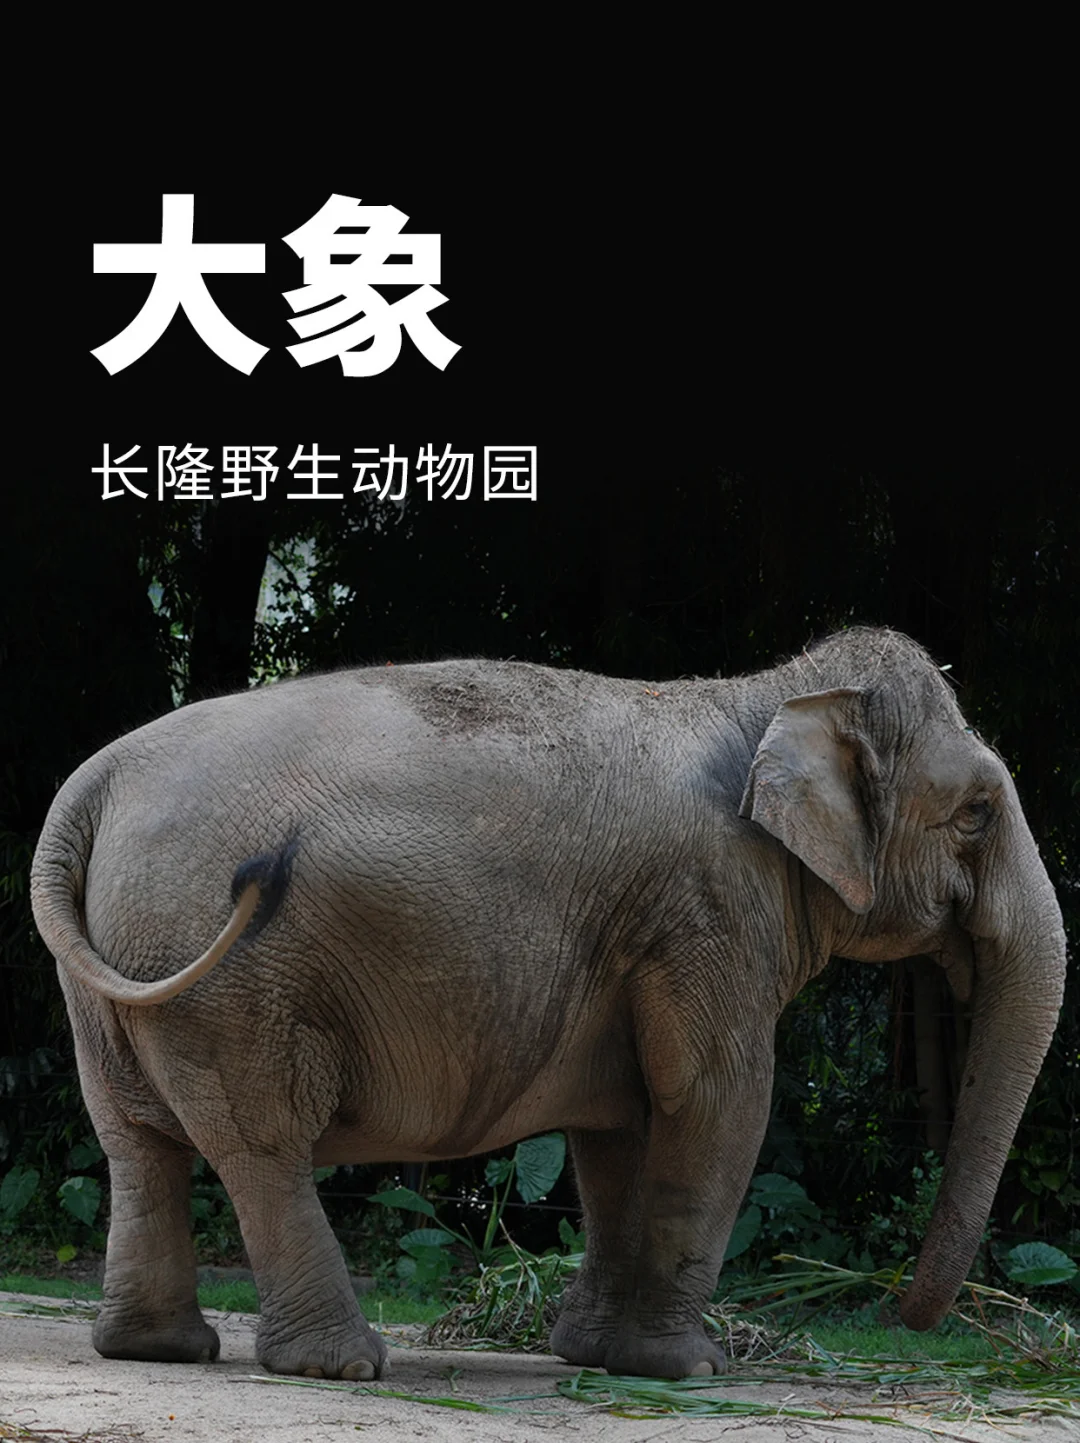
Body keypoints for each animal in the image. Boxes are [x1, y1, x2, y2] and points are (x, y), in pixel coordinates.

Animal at [30, 627, 1066, 1382]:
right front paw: (688, 1369)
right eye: (976, 813)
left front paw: (594, 1356)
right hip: (229, 975)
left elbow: (620, 1129)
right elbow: (717, 1104)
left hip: (115, 968)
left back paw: (160, 1350)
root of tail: (89, 786)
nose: (894, 1311)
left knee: (135, 1142)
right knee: (263, 1142)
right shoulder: (712, 906)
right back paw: (342, 1364)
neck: (766, 695)